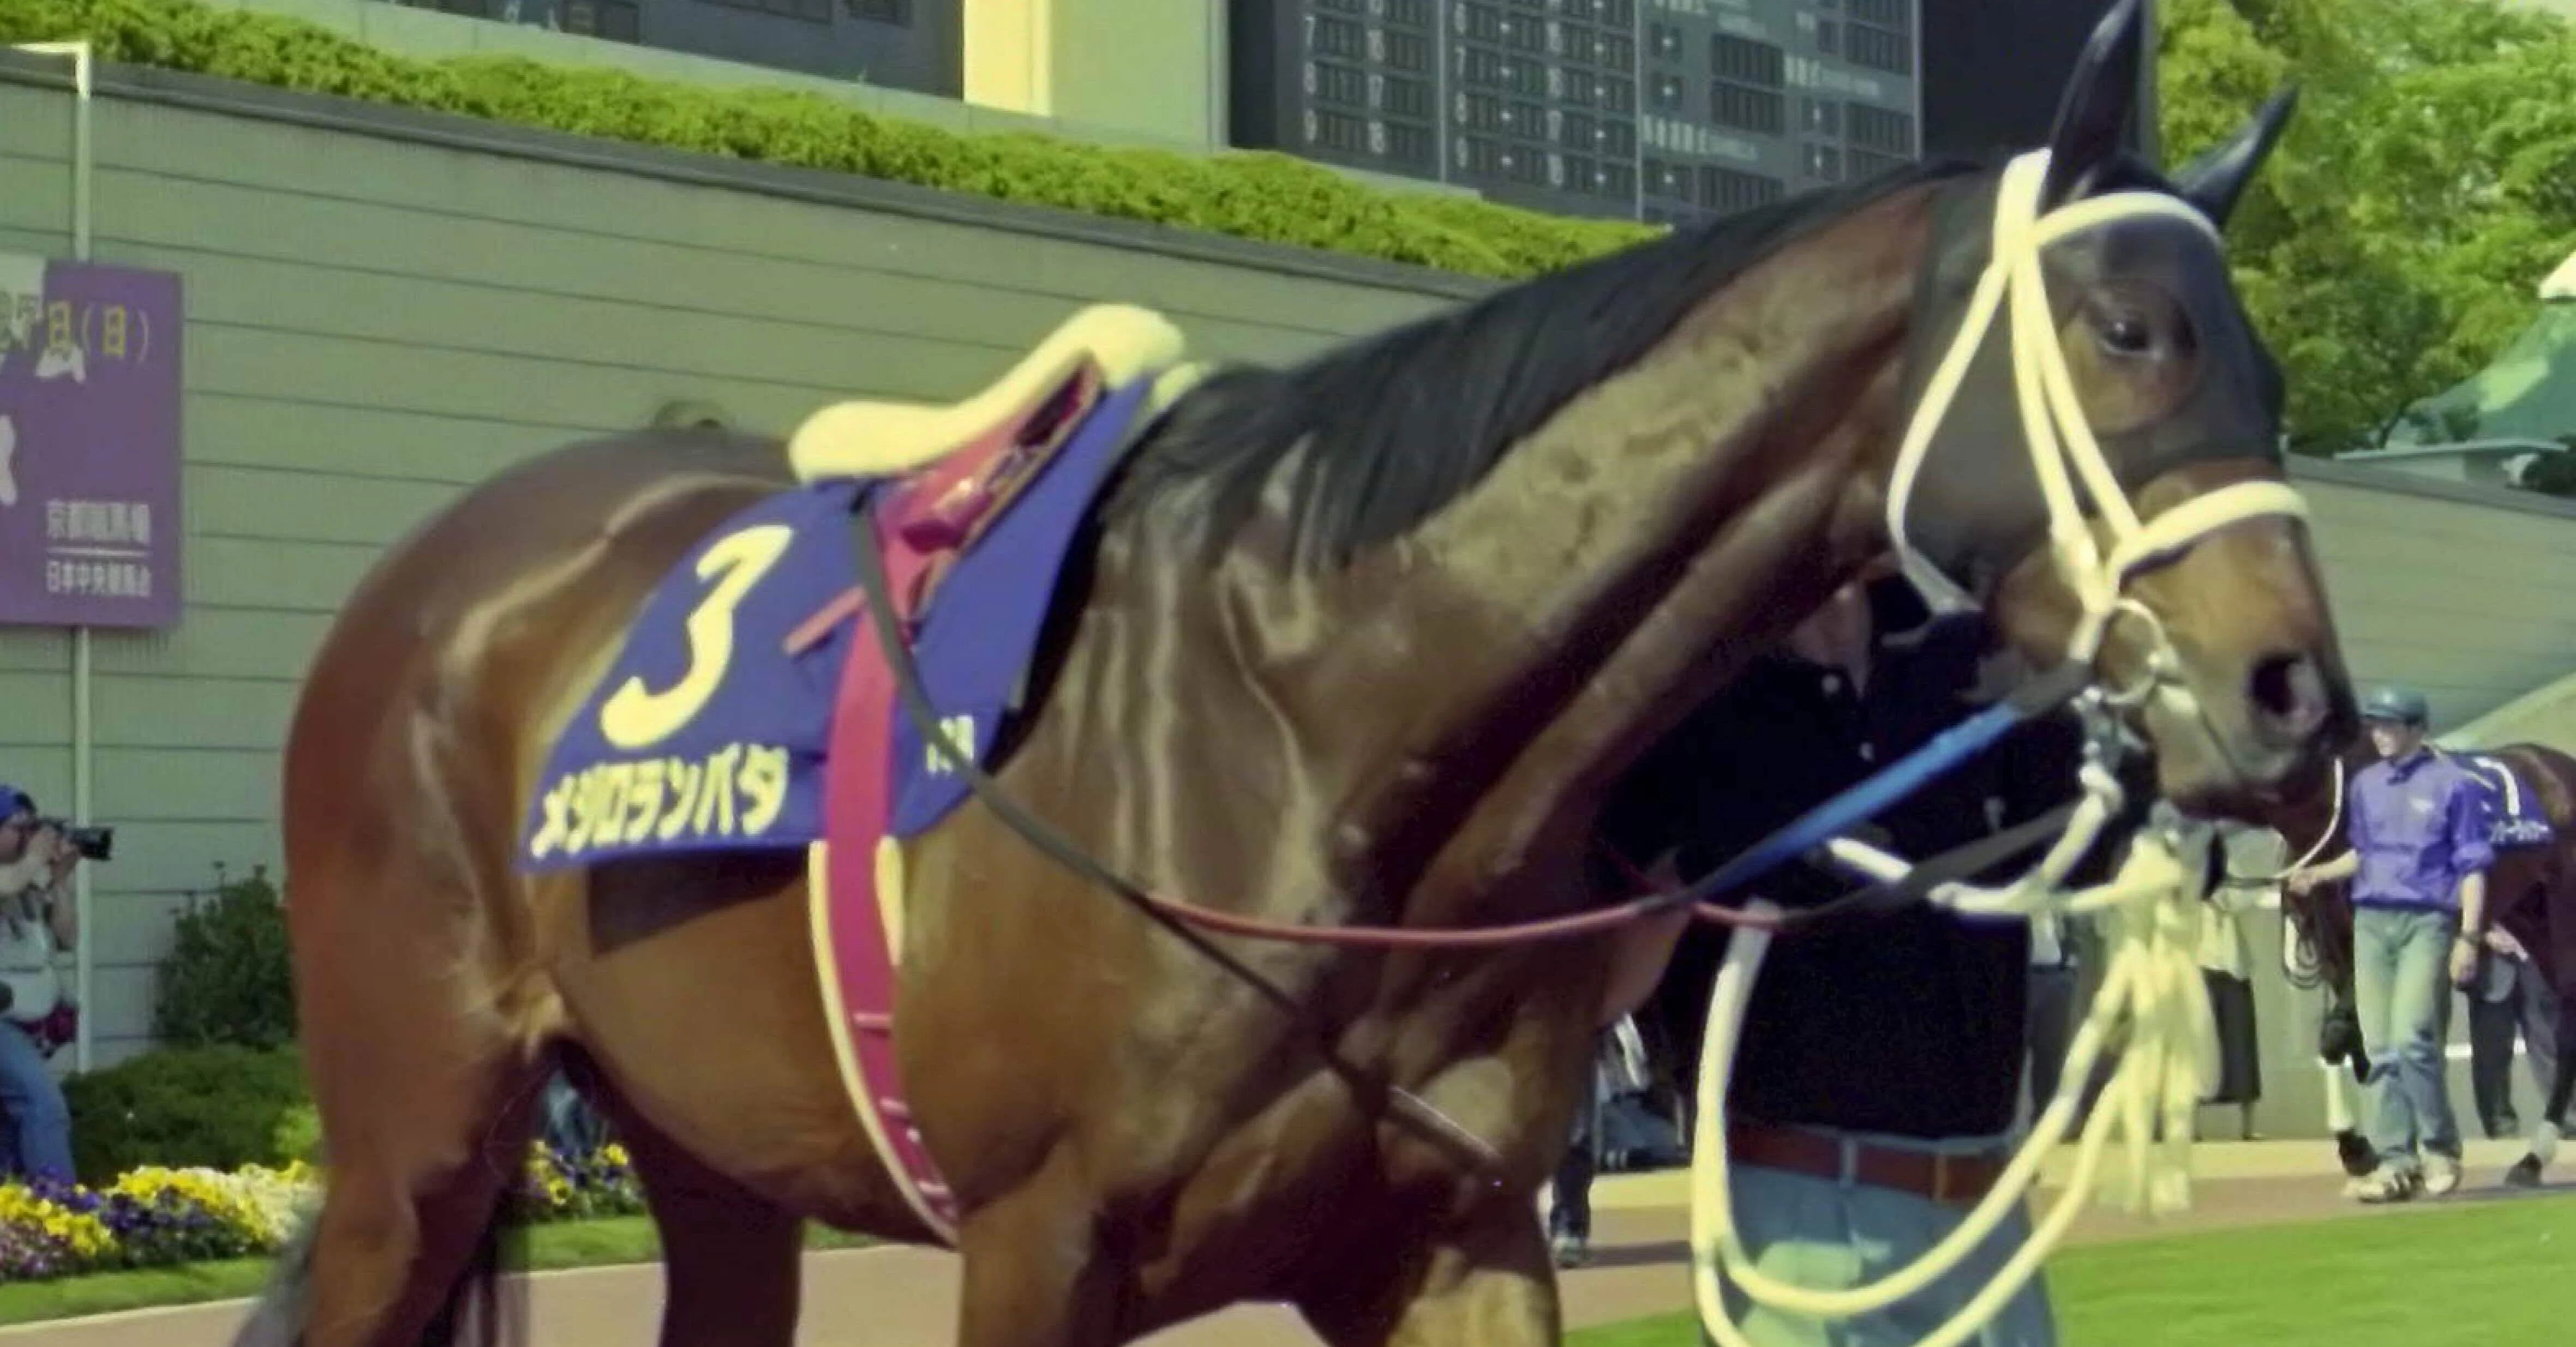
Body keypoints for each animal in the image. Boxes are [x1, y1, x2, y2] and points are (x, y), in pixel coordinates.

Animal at [232, 5, 2353, 1344]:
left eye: (2266, 362)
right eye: (2131, 329)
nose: (2290, 698)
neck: (1314, 731)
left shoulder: (1454, 1238)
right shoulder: (1033, 1248)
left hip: (705, 1152)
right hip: (420, 1137)